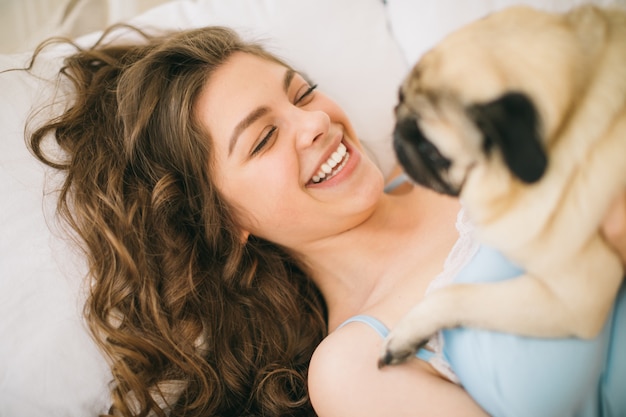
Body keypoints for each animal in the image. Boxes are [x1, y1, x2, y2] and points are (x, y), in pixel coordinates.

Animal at [378, 4, 624, 366]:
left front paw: (408, 330)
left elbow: (455, 294)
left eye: (431, 150)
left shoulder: (579, 298)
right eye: (399, 98)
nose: (399, 136)